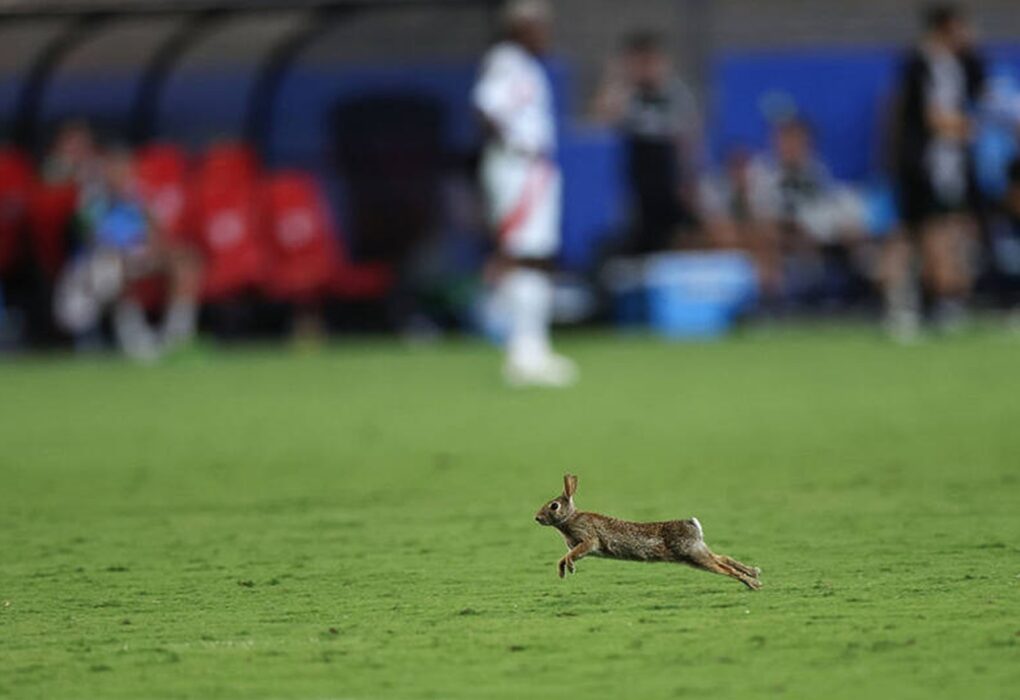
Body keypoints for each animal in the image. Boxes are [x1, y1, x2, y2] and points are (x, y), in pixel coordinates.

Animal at [534, 473, 762, 589]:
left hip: (694, 554)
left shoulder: (587, 540)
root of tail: (693, 524)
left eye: (554, 506)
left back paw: (753, 583)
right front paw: (562, 573)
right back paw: (754, 573)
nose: (537, 518)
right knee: (722, 558)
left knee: (724, 568)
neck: (570, 518)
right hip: (694, 555)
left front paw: (570, 568)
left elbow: (571, 555)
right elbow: (562, 558)